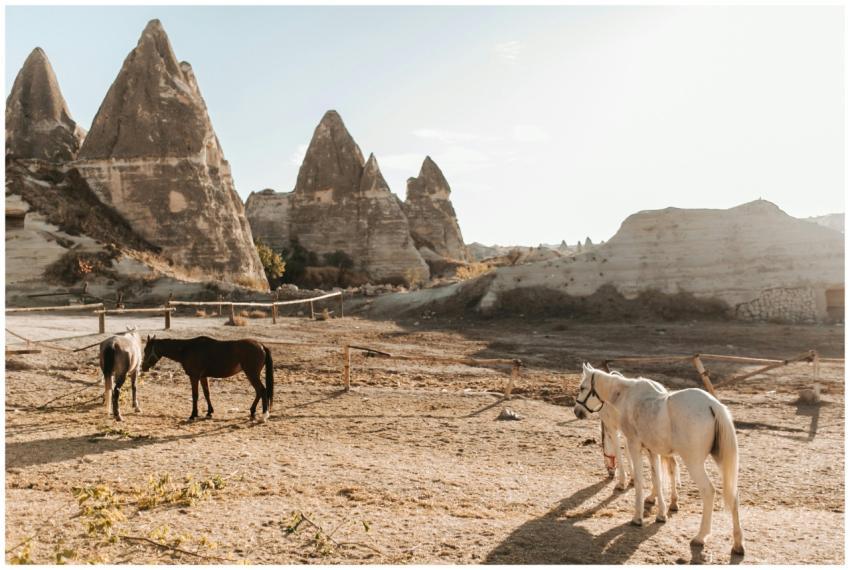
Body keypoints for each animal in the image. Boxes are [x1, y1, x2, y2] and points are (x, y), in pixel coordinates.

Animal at [141, 335, 274, 422]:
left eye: (146, 350)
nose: (143, 367)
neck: (187, 349)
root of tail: (261, 345)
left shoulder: (194, 376)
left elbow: (195, 395)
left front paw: (193, 415)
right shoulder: (203, 377)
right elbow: (206, 393)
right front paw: (209, 412)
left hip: (252, 374)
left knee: (262, 390)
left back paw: (264, 415)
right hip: (251, 375)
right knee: (259, 391)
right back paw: (253, 412)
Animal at [575, 363, 744, 555]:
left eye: (582, 387)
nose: (577, 411)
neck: (625, 396)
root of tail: (713, 406)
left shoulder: (634, 445)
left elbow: (640, 480)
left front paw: (637, 517)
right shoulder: (652, 450)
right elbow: (657, 478)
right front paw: (661, 514)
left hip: (694, 463)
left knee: (708, 491)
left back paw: (700, 537)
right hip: (722, 461)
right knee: (733, 494)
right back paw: (737, 544)